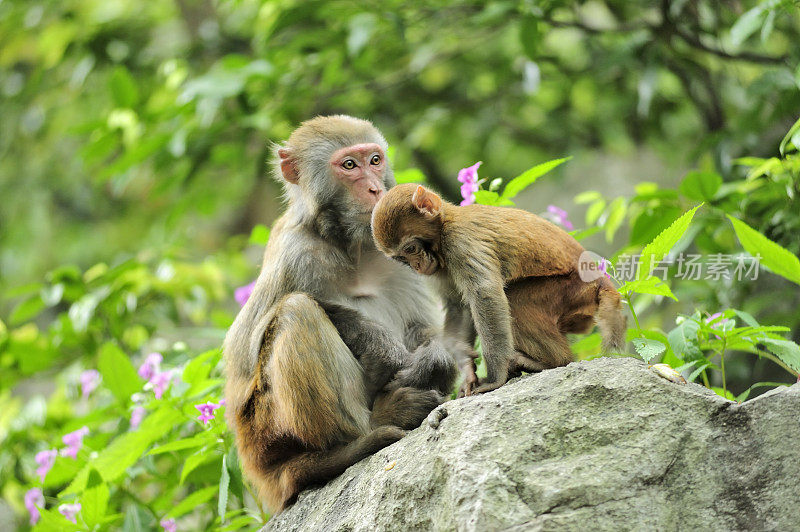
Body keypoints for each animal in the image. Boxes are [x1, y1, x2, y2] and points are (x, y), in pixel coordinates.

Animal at [225, 115, 462, 512]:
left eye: (375, 160)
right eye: (349, 165)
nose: (374, 189)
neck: (352, 244)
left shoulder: (398, 249)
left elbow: (421, 326)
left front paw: (435, 361)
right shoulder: (295, 252)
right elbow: (244, 352)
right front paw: (381, 345)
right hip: (266, 432)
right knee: (296, 312)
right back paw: (363, 436)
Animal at [372, 183, 628, 394]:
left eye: (411, 249)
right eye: (402, 259)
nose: (417, 266)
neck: (444, 229)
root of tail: (600, 280)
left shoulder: (460, 241)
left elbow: (484, 294)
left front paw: (495, 377)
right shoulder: (439, 268)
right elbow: (458, 306)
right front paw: (467, 368)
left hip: (573, 289)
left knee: (516, 301)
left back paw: (553, 362)